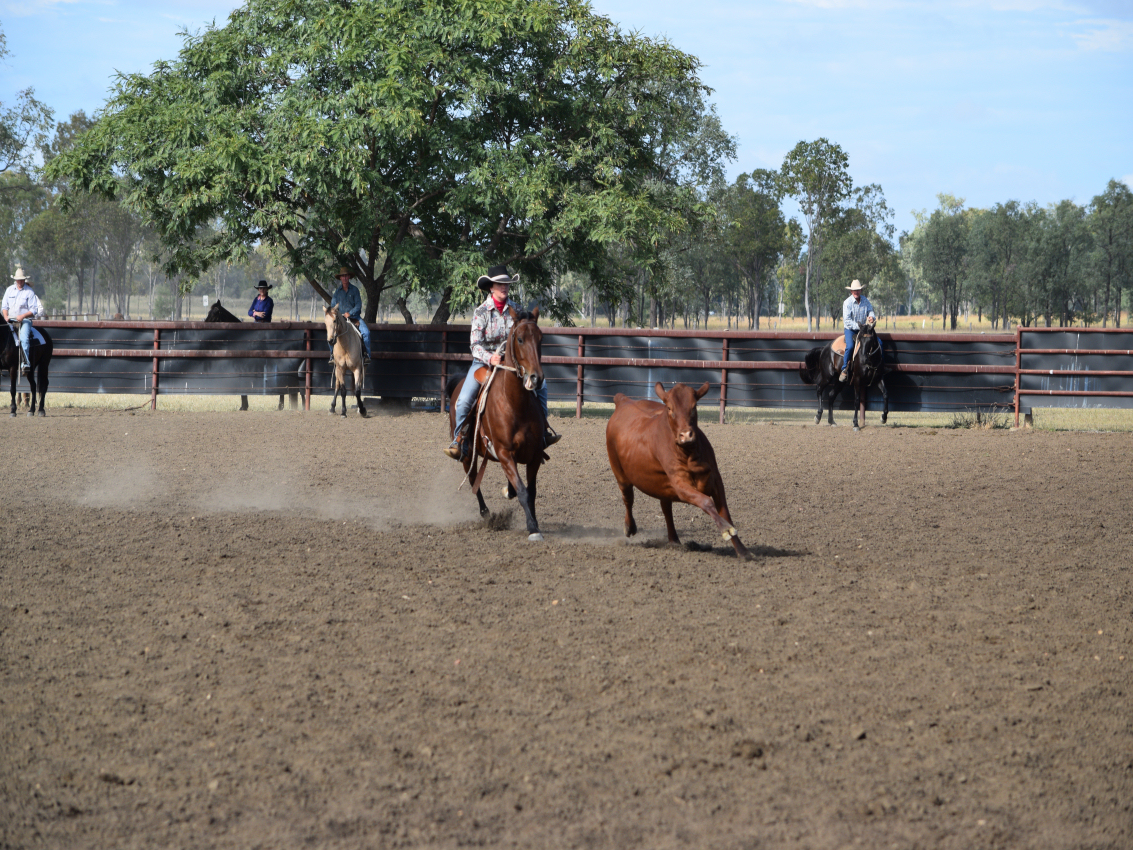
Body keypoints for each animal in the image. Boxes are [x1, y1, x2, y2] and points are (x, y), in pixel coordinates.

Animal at [446, 307, 547, 541]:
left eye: (541, 338)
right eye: (520, 339)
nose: (537, 378)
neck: (515, 404)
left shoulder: (535, 455)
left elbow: (531, 491)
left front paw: (534, 523)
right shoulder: (504, 453)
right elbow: (522, 491)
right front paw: (532, 528)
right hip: (468, 453)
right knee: (473, 478)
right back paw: (485, 512)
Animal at [605, 381, 753, 560]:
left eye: (694, 406)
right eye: (670, 408)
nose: (686, 435)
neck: (689, 454)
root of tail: (624, 401)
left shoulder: (716, 481)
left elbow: (725, 512)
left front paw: (742, 551)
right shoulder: (680, 484)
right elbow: (706, 501)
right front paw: (725, 529)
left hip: (661, 485)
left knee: (666, 507)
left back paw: (674, 539)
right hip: (620, 474)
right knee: (628, 499)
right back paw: (629, 526)